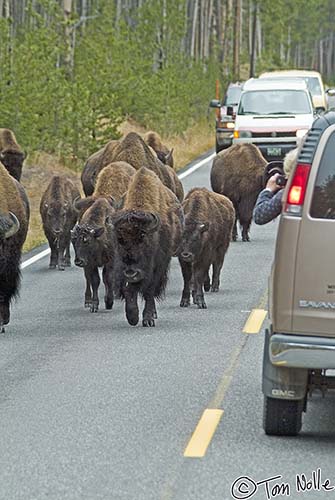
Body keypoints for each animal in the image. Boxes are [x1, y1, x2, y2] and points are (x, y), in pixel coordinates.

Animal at [113, 166, 184, 326]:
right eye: (119, 239)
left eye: (142, 237)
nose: (131, 273)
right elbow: (129, 290)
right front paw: (132, 317)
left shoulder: (157, 266)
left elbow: (149, 291)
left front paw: (148, 319)